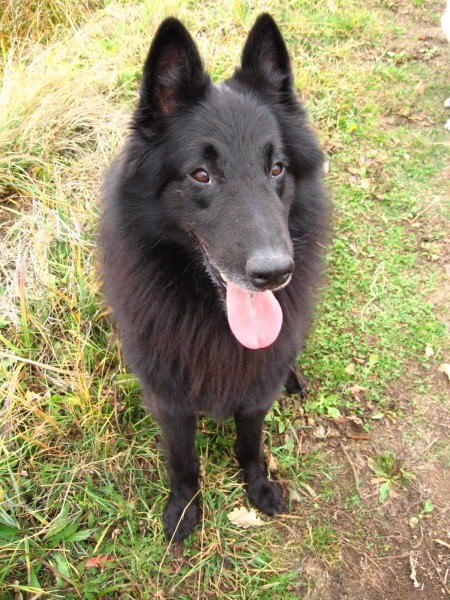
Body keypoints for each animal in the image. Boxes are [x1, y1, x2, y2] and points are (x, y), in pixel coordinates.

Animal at [100, 14, 328, 540]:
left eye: (277, 167)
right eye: (201, 174)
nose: (275, 273)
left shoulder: (256, 389)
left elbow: (250, 441)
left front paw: (258, 485)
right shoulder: (169, 400)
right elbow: (183, 460)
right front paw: (185, 506)